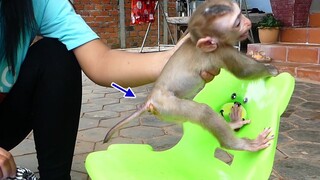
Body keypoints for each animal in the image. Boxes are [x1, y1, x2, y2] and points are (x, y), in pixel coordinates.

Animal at [105, 0, 278, 152]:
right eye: (237, 23)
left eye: (241, 14)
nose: (248, 22)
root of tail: (150, 100)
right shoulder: (222, 51)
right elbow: (244, 71)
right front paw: (270, 69)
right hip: (167, 105)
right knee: (203, 112)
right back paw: (237, 144)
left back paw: (232, 124)